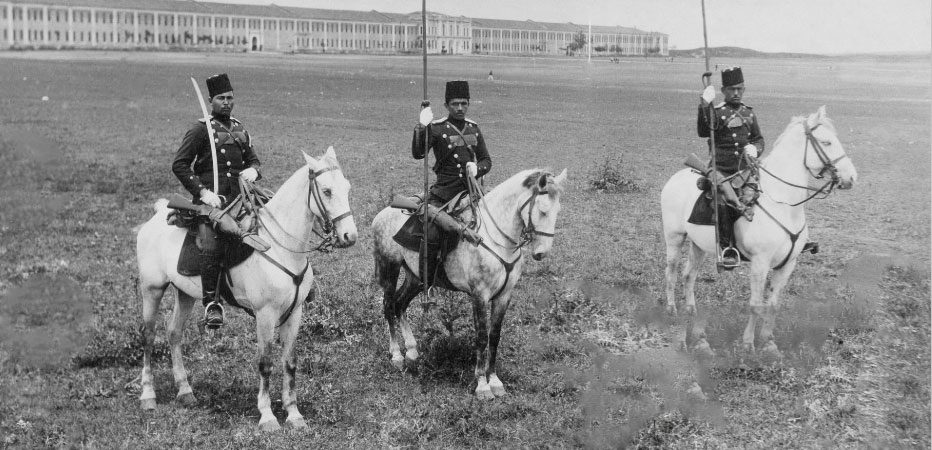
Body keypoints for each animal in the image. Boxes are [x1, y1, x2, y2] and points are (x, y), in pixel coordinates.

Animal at [136, 147, 356, 428]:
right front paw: (267, 416)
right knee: (148, 336)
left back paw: (185, 391)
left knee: (174, 332)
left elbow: (290, 362)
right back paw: (148, 395)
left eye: (347, 187)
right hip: (151, 289)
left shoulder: (294, 313)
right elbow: (265, 362)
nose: (350, 236)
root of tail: (156, 216)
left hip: (184, 293)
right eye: (326, 191)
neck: (280, 246)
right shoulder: (265, 314)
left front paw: (294, 414)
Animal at [372, 168, 568, 398]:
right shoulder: (480, 295)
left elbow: (494, 336)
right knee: (388, 305)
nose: (541, 253)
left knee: (400, 304)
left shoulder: (504, 296)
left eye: (558, 209)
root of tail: (382, 214)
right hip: (389, 269)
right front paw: (482, 385)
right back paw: (396, 355)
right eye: (543, 210)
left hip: (415, 277)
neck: (496, 239)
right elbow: (481, 337)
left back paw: (411, 351)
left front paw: (495, 380)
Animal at [664, 106, 860, 356]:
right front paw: (748, 345)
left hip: (698, 245)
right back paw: (672, 311)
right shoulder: (760, 263)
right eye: (827, 142)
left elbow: (773, 305)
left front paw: (768, 343)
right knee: (671, 273)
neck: (783, 203)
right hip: (674, 238)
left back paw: (694, 323)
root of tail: (675, 178)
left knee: (689, 276)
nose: (851, 177)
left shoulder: (788, 264)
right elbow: (756, 305)